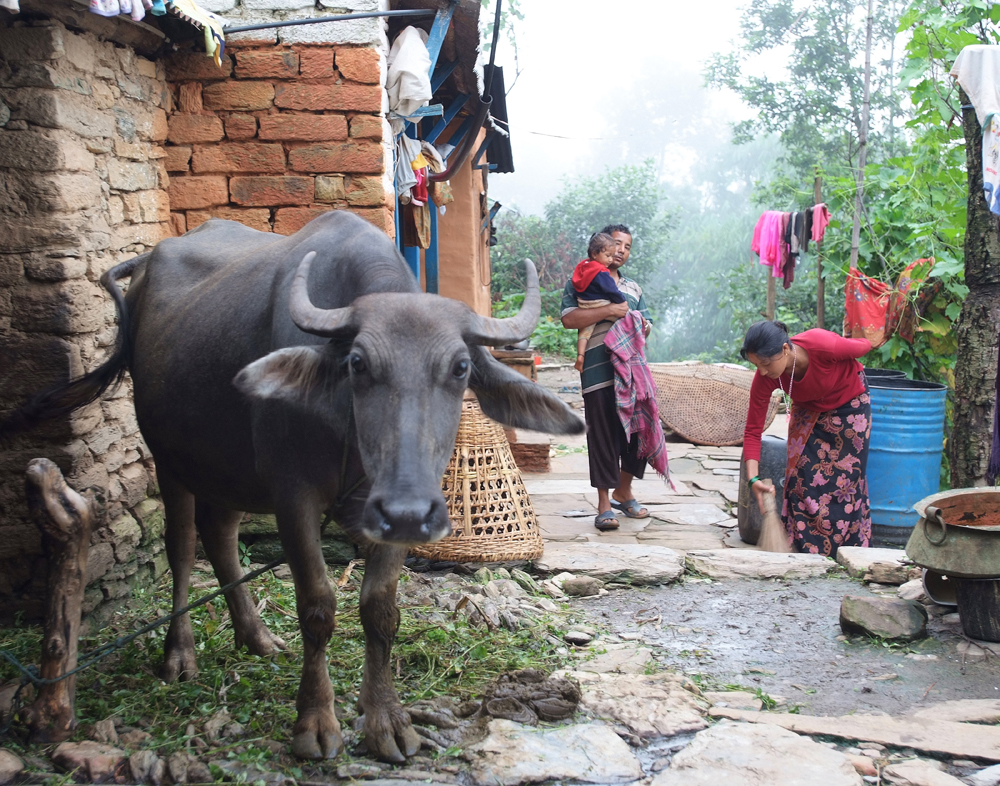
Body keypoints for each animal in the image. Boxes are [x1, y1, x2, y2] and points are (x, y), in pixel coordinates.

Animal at [17, 210, 584, 760]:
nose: (407, 512)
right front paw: (314, 723)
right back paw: (179, 654)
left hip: (230, 465)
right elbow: (317, 606)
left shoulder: (391, 514)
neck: (350, 433)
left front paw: (387, 722)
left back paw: (257, 637)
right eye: (357, 363)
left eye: (461, 367)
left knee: (220, 535)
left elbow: (380, 609)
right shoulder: (293, 497)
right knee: (181, 546)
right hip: (170, 458)